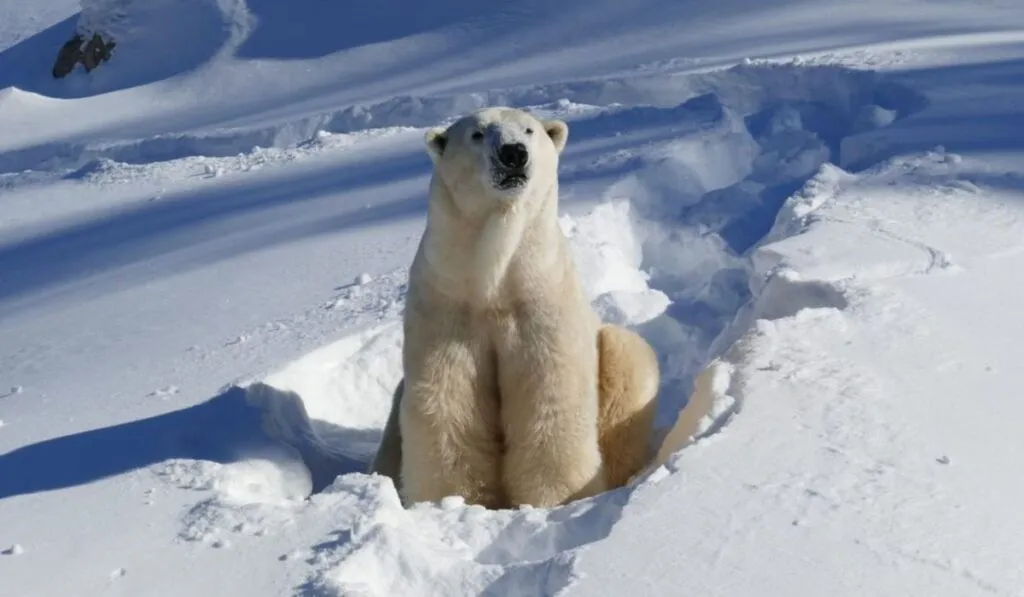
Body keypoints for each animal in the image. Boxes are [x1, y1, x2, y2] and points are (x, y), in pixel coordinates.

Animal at [369, 106, 661, 509]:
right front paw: (451, 500)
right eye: (477, 134)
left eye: (529, 130)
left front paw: (559, 498)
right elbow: (450, 402)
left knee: (626, 361)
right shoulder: (448, 304)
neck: (493, 281)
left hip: (618, 362)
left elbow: (549, 394)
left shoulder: (539, 299)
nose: (513, 153)